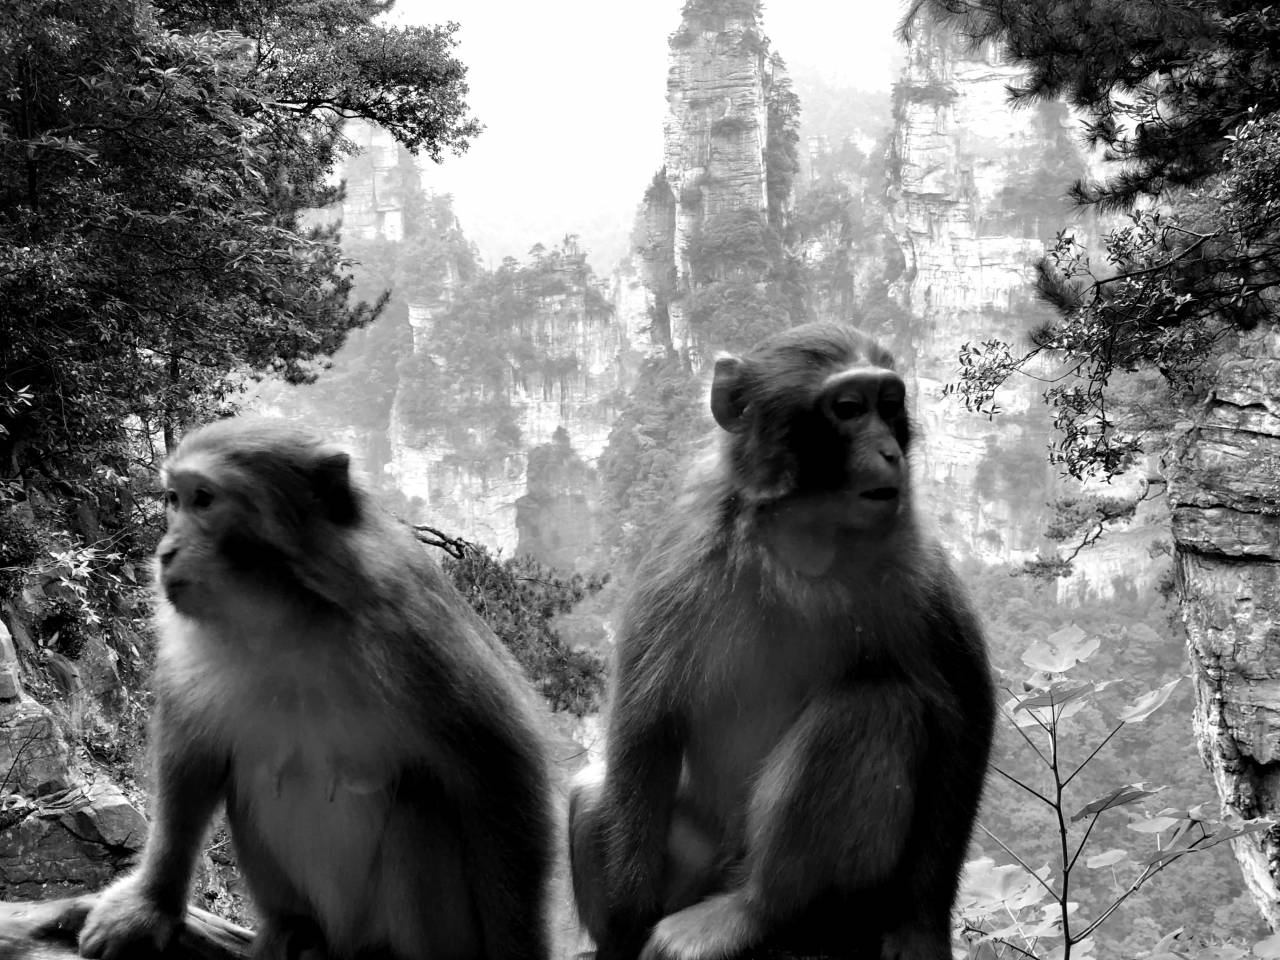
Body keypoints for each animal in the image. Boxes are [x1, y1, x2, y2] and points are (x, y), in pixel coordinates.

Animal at [78, 417, 553, 960]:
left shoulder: (417, 635)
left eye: (204, 499)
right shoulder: (189, 650)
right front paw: (151, 905)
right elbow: (192, 763)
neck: (289, 617)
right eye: (172, 500)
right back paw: (295, 929)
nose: (165, 552)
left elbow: (503, 772)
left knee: (422, 799)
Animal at [568, 322, 996, 960]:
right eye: (849, 408)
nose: (890, 452)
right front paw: (622, 926)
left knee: (874, 705)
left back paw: (753, 911)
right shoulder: (682, 559)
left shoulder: (913, 568)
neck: (800, 545)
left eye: (889, 404)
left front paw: (921, 928)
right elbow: (646, 728)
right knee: (592, 787)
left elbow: (963, 717)